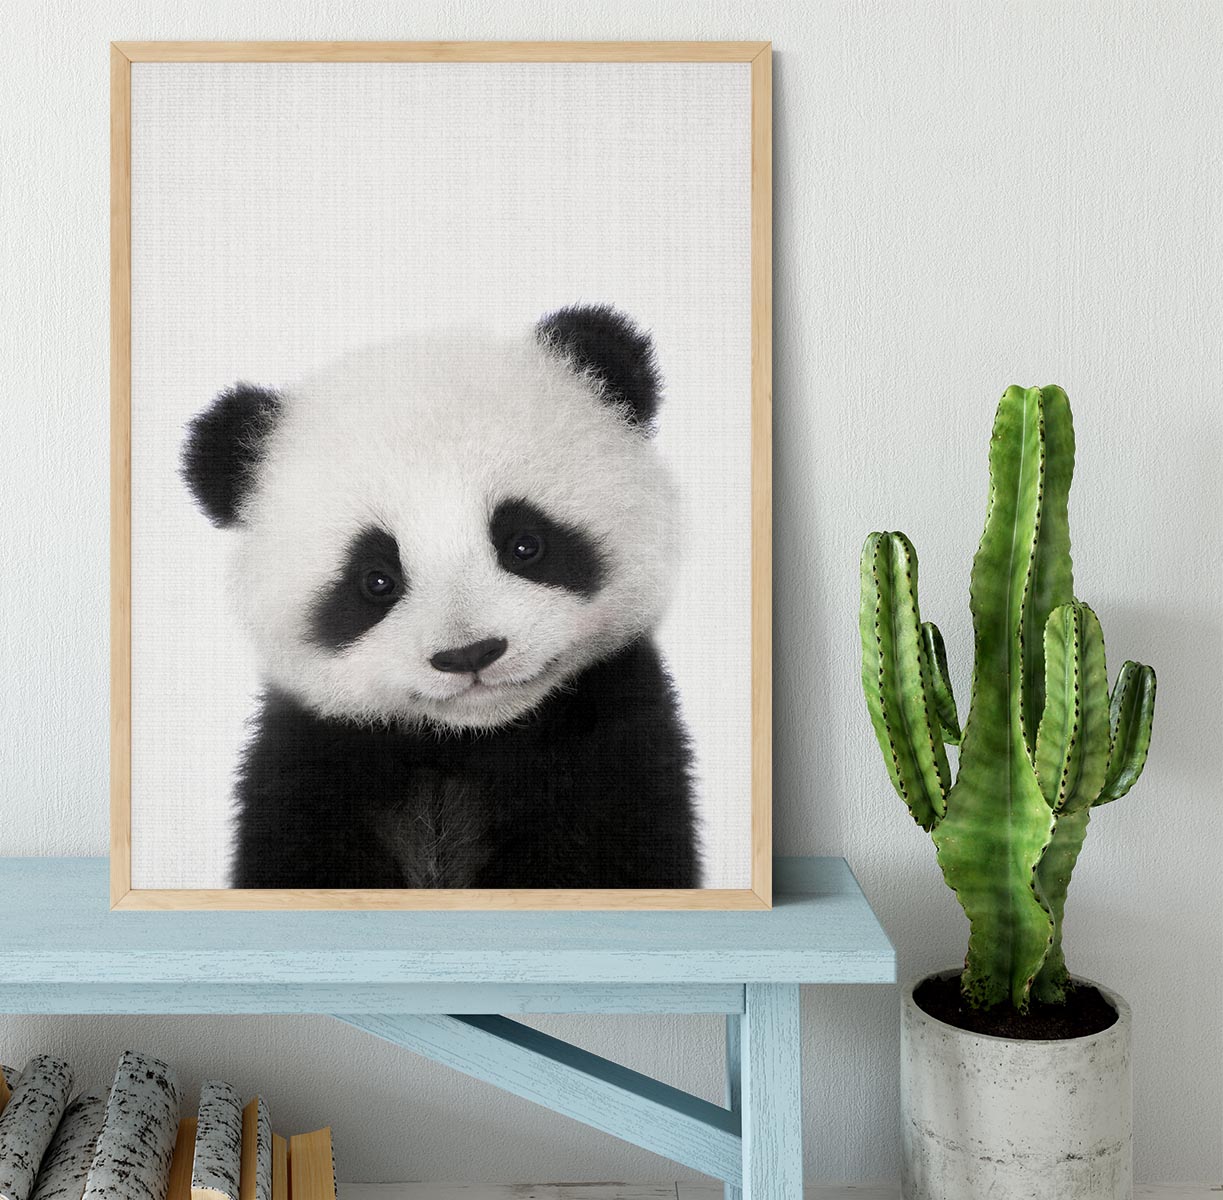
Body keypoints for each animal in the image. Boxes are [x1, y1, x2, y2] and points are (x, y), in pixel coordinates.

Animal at [181, 305, 699, 890]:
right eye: (376, 580)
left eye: (525, 544)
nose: (469, 654)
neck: (465, 742)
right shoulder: (312, 768)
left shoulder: (612, 749)